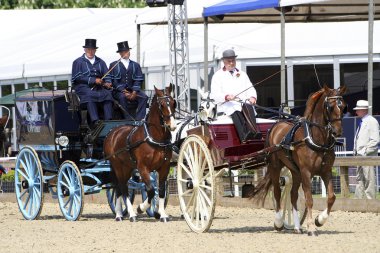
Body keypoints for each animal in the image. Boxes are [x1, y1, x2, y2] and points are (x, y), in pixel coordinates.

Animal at [103, 84, 176, 221]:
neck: (154, 137)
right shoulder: (143, 168)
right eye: (162, 105)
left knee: (120, 188)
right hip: (117, 166)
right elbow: (151, 190)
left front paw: (162, 214)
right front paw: (140, 208)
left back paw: (120, 214)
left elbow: (160, 191)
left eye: (174, 103)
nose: (172, 125)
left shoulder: (164, 167)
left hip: (127, 167)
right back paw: (129, 214)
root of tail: (113, 132)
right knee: (122, 188)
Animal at [251, 85, 346, 235]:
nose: (338, 131)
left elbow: (331, 197)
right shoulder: (306, 172)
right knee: (277, 192)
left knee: (293, 194)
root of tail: (276, 124)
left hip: (295, 172)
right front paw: (311, 227)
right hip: (275, 166)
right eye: (330, 107)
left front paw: (319, 220)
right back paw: (279, 222)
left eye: (343, 106)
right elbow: (309, 199)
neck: (316, 139)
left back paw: (296, 227)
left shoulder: (326, 171)